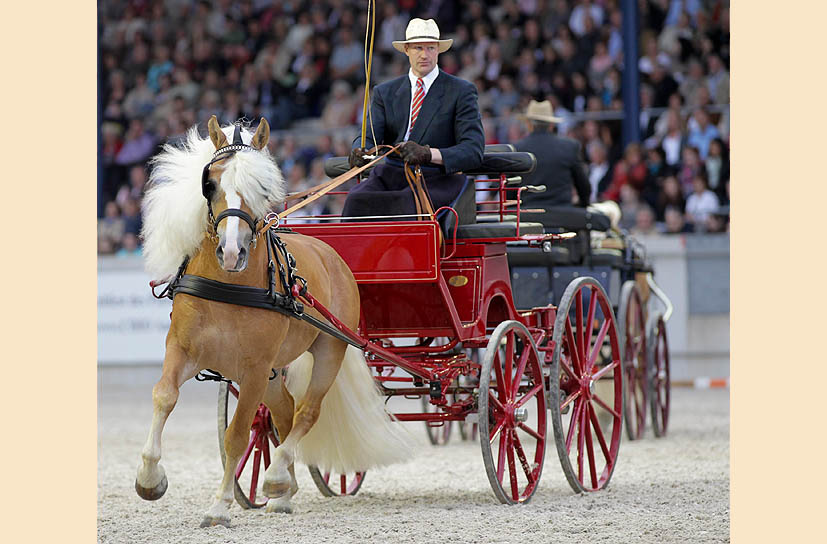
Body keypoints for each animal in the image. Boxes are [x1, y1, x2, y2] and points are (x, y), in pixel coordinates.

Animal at [135, 116, 414, 528]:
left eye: (263, 186)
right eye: (209, 183)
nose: (231, 252)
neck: (228, 286)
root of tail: (330, 252)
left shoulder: (253, 368)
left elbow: (237, 435)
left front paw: (219, 507)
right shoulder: (183, 351)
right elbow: (164, 396)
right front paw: (150, 479)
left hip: (328, 349)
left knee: (306, 412)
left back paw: (277, 477)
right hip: (271, 373)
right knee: (282, 412)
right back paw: (282, 492)